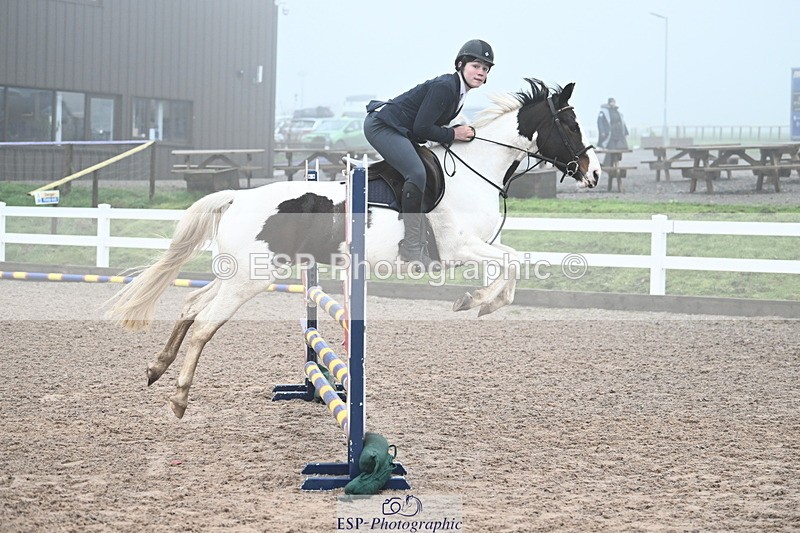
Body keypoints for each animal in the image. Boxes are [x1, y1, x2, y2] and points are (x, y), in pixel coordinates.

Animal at [107, 78, 601, 418]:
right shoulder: (459, 247)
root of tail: (236, 197)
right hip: (251, 279)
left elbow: (512, 264)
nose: (593, 173)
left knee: (191, 305)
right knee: (205, 325)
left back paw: (156, 368)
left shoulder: (476, 246)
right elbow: (511, 264)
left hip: (239, 274)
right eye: (570, 124)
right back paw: (179, 398)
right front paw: (476, 302)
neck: (473, 172)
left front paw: (477, 300)